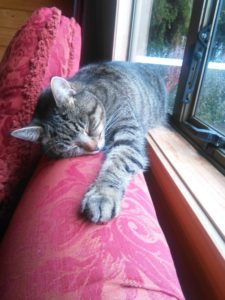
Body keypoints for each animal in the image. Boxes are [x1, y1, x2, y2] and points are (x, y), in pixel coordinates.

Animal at [10, 61, 166, 223]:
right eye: (71, 147)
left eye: (88, 127)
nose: (94, 147)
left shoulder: (128, 134)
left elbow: (117, 164)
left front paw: (102, 196)